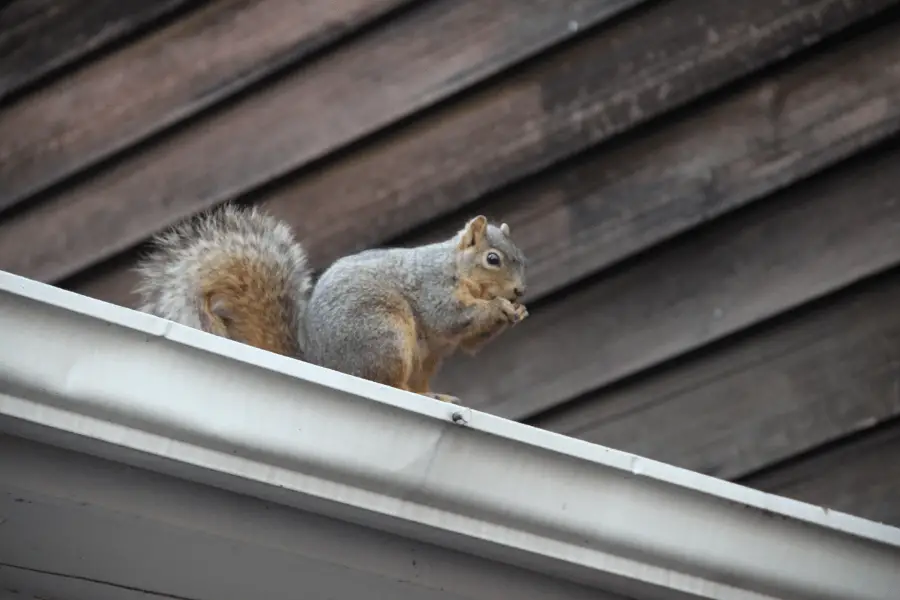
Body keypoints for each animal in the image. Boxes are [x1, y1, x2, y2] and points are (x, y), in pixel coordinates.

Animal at [134, 204, 528, 406]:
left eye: (521, 258)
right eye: (493, 259)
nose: (520, 291)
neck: (455, 268)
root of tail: (322, 363)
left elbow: (470, 342)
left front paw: (517, 313)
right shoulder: (434, 289)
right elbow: (452, 318)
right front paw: (499, 307)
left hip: (420, 358)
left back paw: (436, 395)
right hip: (384, 336)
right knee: (385, 382)